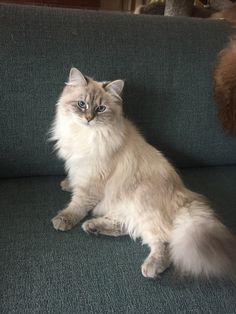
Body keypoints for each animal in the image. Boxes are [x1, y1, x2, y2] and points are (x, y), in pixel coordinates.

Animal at [50, 67, 235, 278]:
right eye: (82, 104)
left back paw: (151, 267)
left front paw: (63, 219)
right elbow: (74, 182)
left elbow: (77, 205)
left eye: (100, 109)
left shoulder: (92, 179)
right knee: (127, 226)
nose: (88, 118)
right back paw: (93, 227)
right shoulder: (79, 168)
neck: (85, 135)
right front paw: (67, 184)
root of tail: (185, 197)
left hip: (143, 204)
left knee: (163, 241)